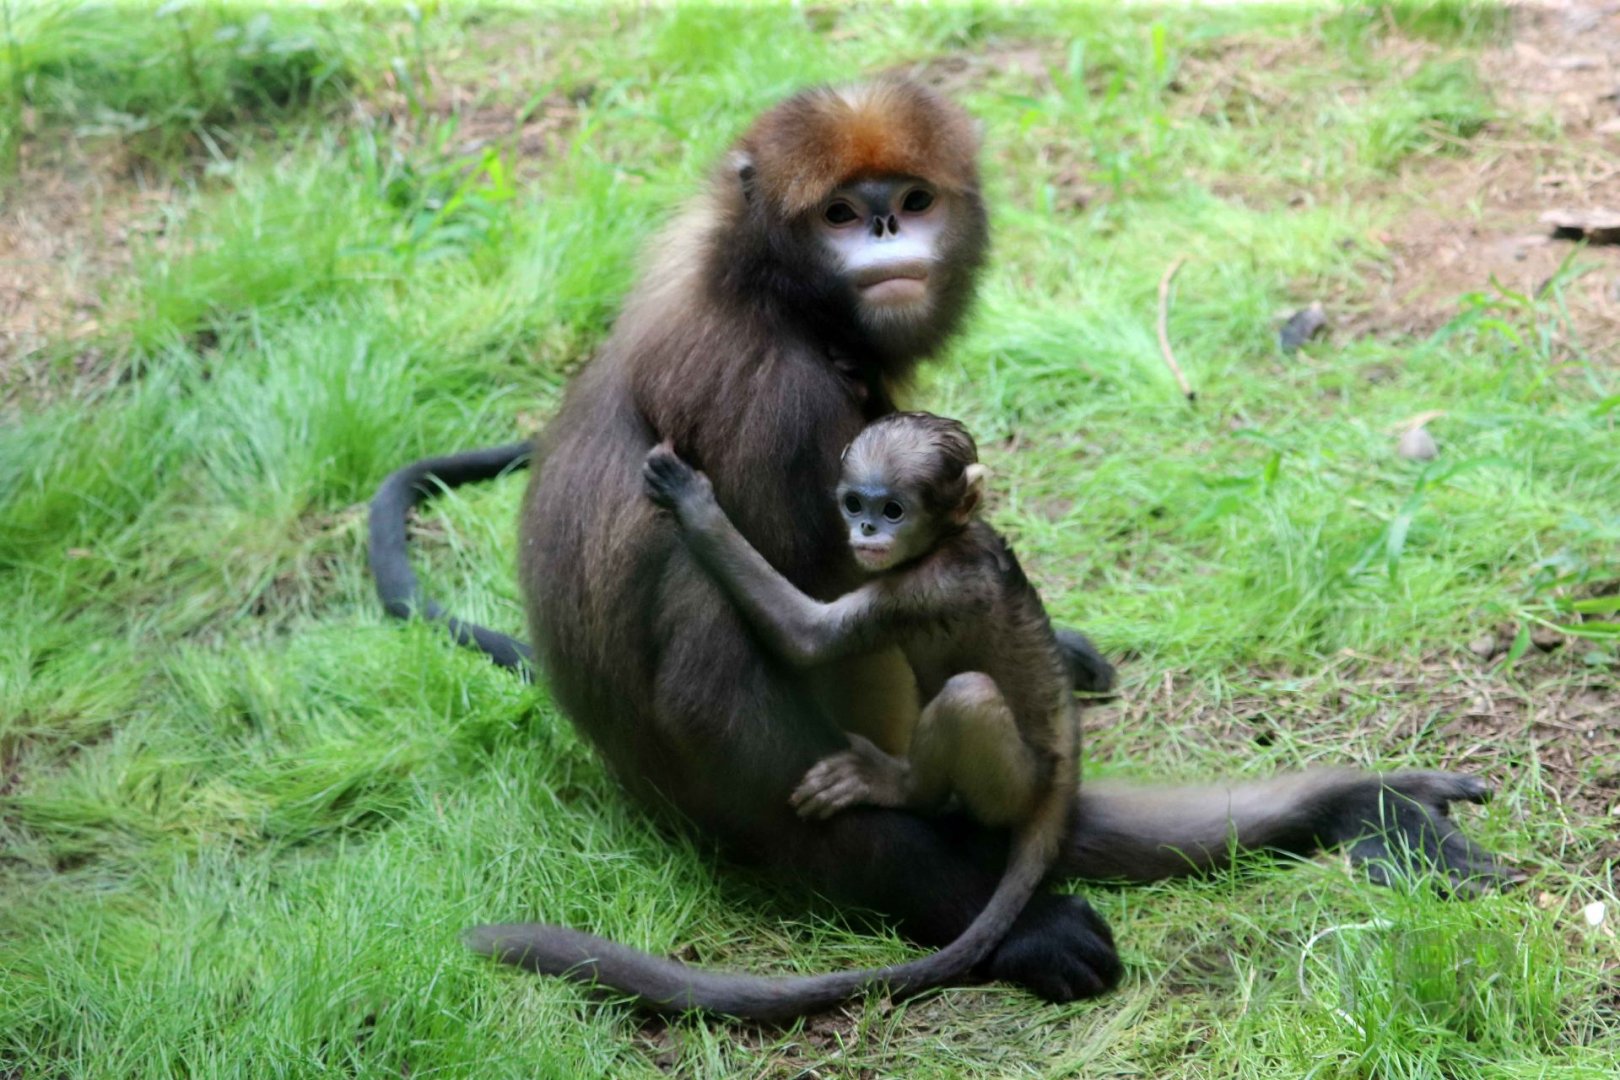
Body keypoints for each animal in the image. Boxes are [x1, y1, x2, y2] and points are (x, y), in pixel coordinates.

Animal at [365, 78, 1514, 1020]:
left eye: (910, 201)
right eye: (840, 213)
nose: (882, 223)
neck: (762, 293)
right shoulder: (771, 408)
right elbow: (752, 678)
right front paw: (1027, 929)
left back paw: (1359, 807)